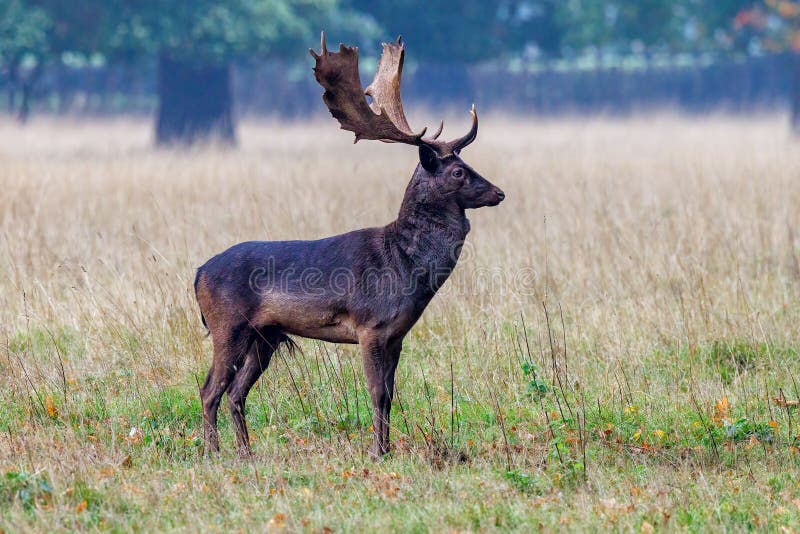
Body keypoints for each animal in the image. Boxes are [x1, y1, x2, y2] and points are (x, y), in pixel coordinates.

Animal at [195, 33, 504, 458]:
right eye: (458, 171)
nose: (499, 192)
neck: (405, 265)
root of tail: (197, 274)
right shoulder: (370, 325)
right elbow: (376, 392)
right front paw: (376, 451)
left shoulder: (398, 335)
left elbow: (390, 394)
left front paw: (386, 448)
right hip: (228, 324)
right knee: (209, 389)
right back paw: (214, 452)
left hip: (265, 336)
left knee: (236, 392)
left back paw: (246, 453)